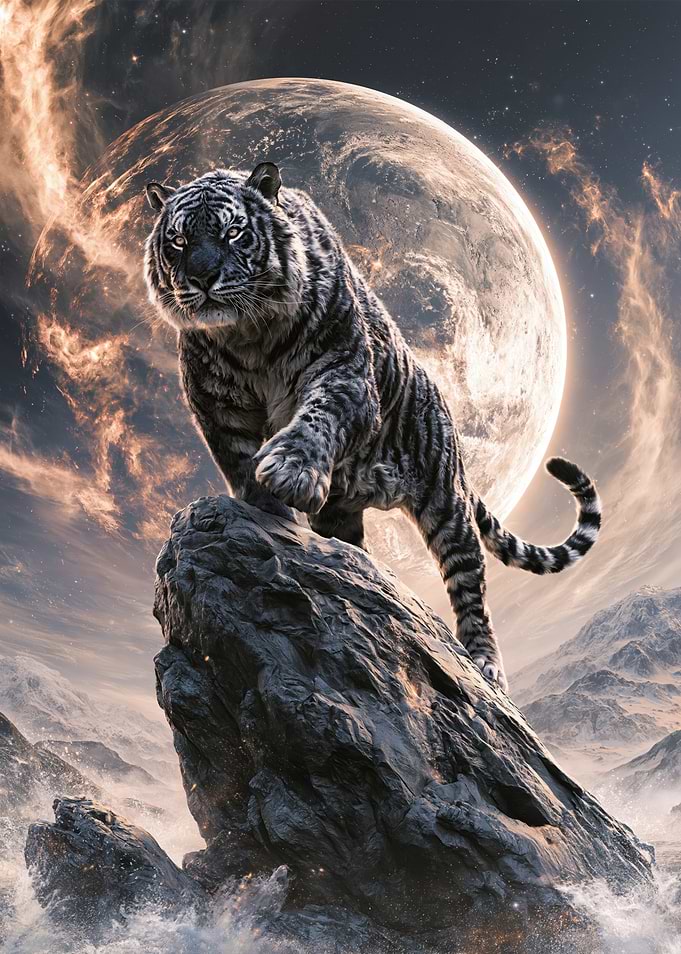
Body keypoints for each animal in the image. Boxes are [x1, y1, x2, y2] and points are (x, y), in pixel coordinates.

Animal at [144, 161, 602, 691]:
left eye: (232, 231)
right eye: (178, 240)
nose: (202, 278)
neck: (246, 334)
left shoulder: (346, 372)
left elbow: (320, 415)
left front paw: (291, 471)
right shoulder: (215, 405)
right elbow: (237, 463)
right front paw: (267, 512)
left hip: (448, 507)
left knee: (472, 591)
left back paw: (486, 664)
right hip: (342, 514)